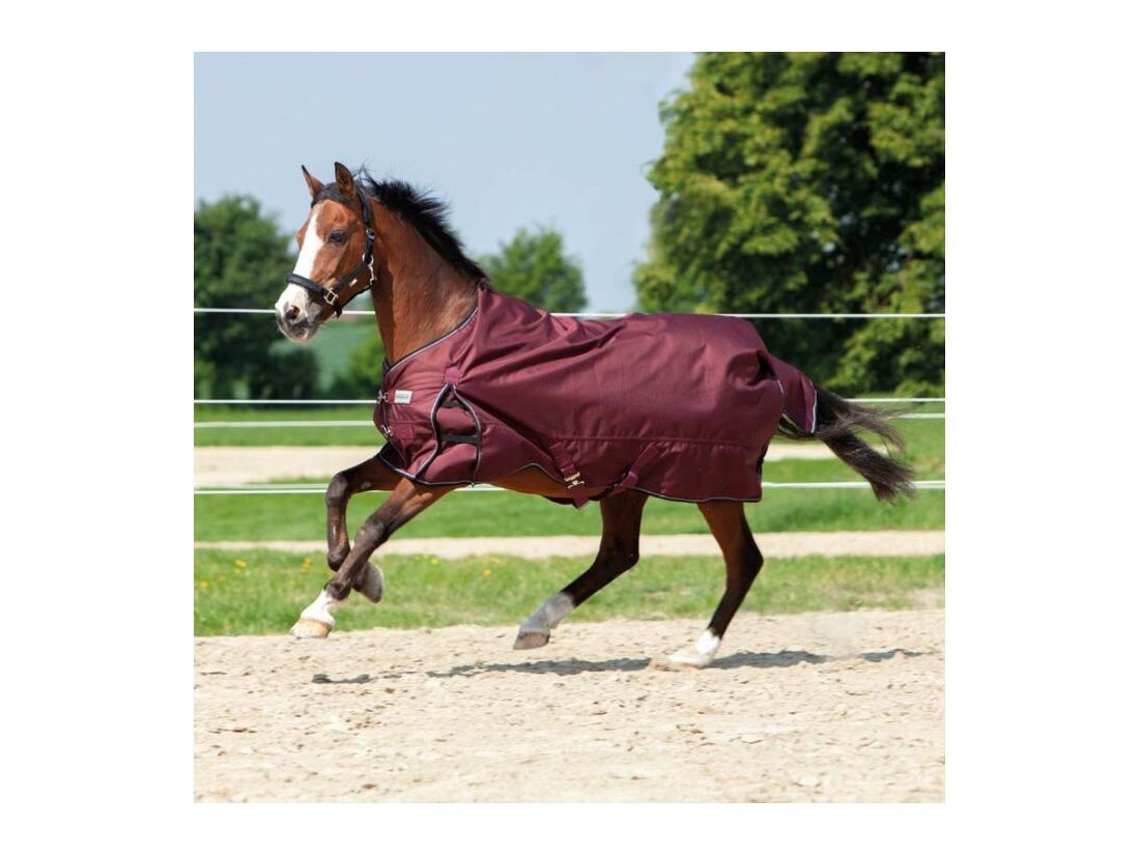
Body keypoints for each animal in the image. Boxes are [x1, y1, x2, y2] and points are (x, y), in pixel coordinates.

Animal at [273, 162, 915, 668]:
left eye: (336, 234)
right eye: (302, 233)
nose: (290, 313)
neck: (446, 337)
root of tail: (764, 359)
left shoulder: (447, 465)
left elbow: (376, 526)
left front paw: (320, 610)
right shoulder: (407, 456)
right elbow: (337, 487)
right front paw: (365, 580)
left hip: (710, 484)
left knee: (742, 561)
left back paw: (693, 652)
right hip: (626, 483)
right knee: (620, 556)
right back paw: (538, 625)